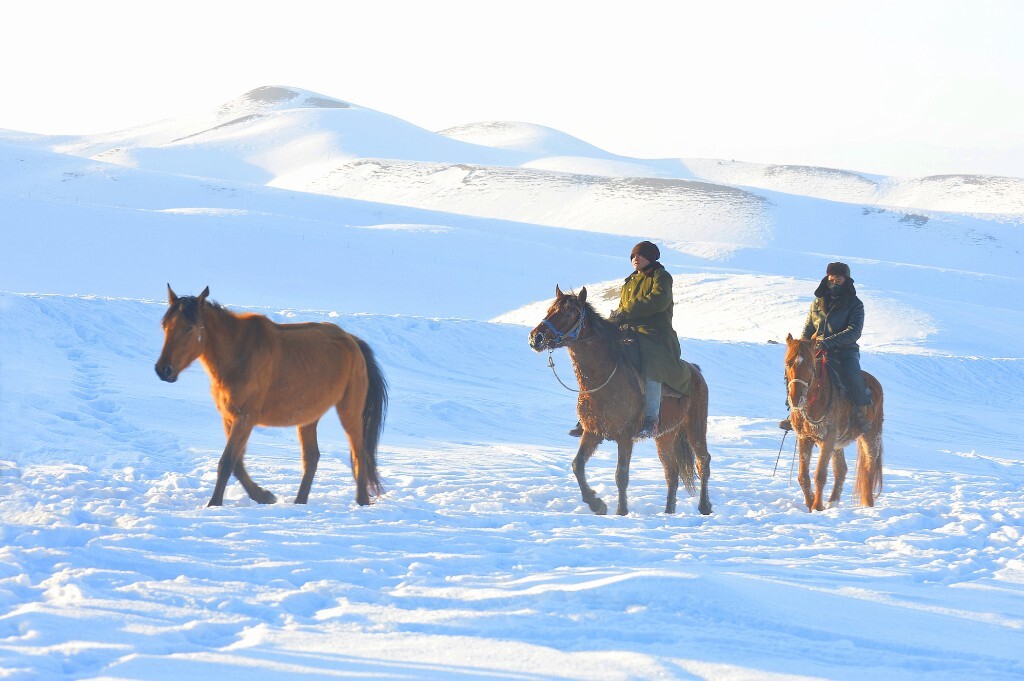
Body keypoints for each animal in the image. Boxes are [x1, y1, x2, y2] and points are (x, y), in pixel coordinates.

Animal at [155, 284, 387, 503]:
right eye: (165, 326)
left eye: (189, 328)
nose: (163, 370)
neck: (238, 354)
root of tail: (352, 341)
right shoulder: (229, 418)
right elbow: (237, 464)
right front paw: (263, 495)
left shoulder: (245, 418)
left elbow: (227, 462)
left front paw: (214, 504)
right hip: (308, 418)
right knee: (311, 457)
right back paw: (299, 502)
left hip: (349, 410)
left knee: (359, 452)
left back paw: (361, 501)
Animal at [528, 286, 712, 516]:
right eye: (549, 309)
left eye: (568, 313)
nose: (536, 337)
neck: (602, 379)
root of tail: (696, 371)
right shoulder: (592, 432)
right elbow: (577, 465)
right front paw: (596, 504)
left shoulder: (624, 436)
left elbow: (621, 475)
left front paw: (621, 511)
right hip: (665, 435)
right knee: (671, 472)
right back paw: (668, 512)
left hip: (695, 426)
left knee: (703, 462)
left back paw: (704, 506)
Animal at [782, 333, 880, 509]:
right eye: (788, 363)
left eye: (810, 364)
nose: (795, 398)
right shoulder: (804, 438)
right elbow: (802, 476)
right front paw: (810, 503)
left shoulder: (827, 439)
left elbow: (820, 475)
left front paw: (817, 507)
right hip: (837, 444)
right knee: (841, 470)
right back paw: (833, 502)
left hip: (871, 436)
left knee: (870, 467)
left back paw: (868, 505)